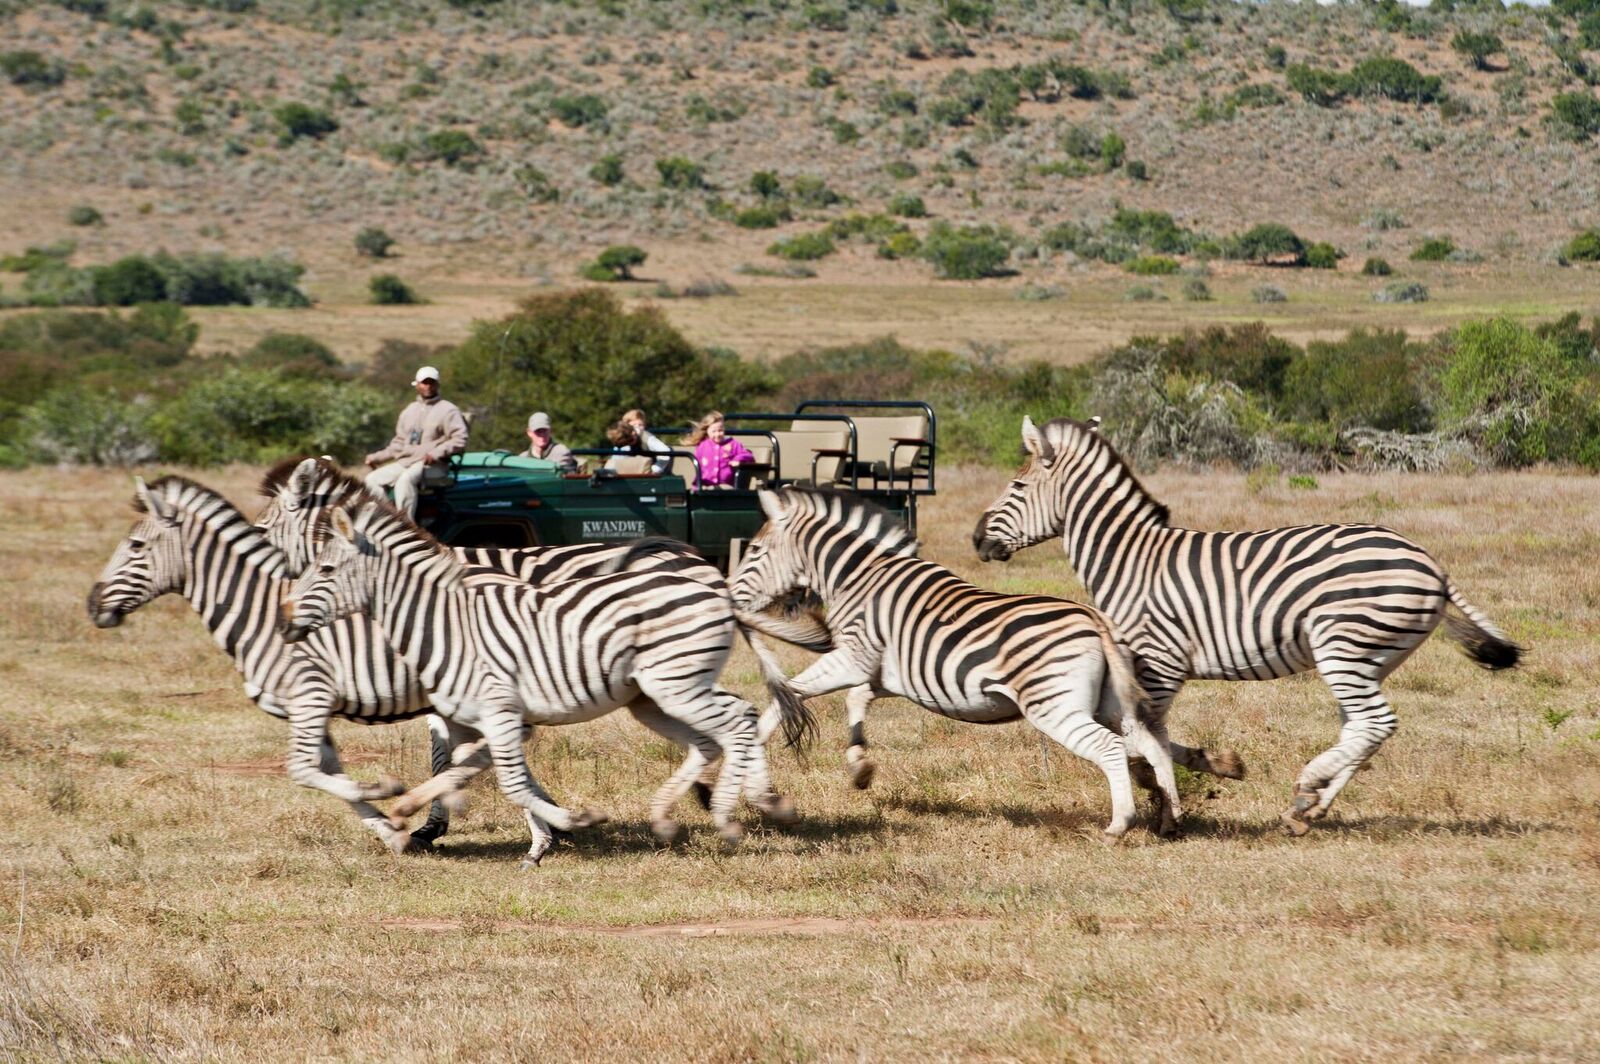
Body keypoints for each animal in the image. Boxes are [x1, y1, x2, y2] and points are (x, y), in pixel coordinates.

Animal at [275, 492, 812, 864]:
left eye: (325, 568)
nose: (282, 621)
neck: (443, 622)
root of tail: (718, 588)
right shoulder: (488, 719)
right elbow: (457, 768)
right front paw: (409, 810)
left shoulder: (501, 711)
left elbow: (508, 781)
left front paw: (570, 824)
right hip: (652, 697)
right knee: (708, 740)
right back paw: (668, 817)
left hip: (676, 684)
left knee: (738, 720)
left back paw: (727, 817)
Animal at [732, 486, 1184, 844]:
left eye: (754, 551)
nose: (731, 599)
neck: (858, 578)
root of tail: (1094, 619)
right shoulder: (885, 673)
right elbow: (855, 701)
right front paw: (860, 768)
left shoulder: (852, 658)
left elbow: (789, 692)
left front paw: (759, 779)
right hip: (1110, 703)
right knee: (1152, 744)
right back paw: (1170, 820)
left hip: (1054, 707)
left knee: (1111, 748)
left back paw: (1119, 825)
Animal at [966, 419, 1516, 832]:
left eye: (1017, 486)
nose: (975, 539)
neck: (1128, 559)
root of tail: (1430, 562)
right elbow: (1152, 737)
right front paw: (1196, 778)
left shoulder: (1158, 660)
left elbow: (1146, 735)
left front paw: (1163, 806)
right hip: (1371, 657)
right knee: (1360, 727)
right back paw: (1310, 807)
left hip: (1343, 642)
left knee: (1376, 722)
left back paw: (1307, 787)